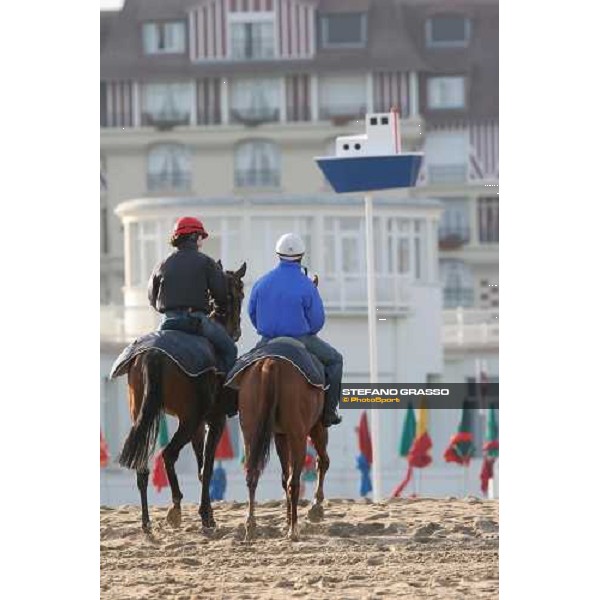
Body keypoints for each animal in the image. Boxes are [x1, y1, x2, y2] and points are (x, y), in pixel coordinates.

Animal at [118, 262, 245, 528]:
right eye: (240, 293)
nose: (237, 331)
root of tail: (154, 354)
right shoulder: (214, 421)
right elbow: (207, 467)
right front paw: (206, 515)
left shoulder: (199, 427)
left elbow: (200, 467)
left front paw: (208, 513)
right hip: (188, 420)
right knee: (168, 454)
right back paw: (175, 507)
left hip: (145, 416)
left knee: (142, 469)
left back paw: (147, 523)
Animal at [239, 354, 330, 540]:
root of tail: (271, 363)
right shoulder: (316, 426)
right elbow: (322, 461)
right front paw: (316, 507)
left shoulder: (280, 435)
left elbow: (283, 476)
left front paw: (287, 520)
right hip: (299, 436)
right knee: (294, 481)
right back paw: (294, 530)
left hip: (250, 434)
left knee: (253, 476)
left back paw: (251, 527)